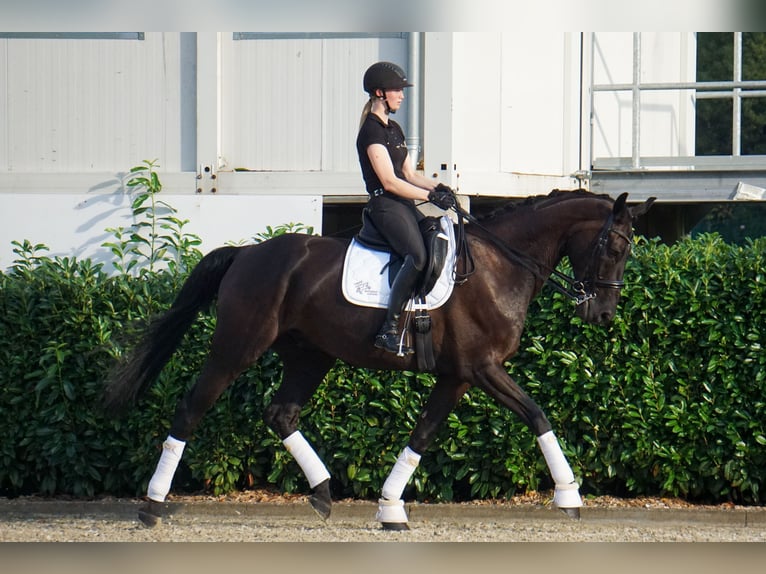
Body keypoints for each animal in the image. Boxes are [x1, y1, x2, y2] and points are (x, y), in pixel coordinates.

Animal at [103, 189, 656, 532]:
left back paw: (324, 492)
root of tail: (247, 252)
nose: (603, 313)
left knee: (280, 413)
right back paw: (152, 505)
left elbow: (423, 434)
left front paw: (390, 508)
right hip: (236, 347)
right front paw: (569, 497)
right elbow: (536, 414)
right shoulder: (480, 369)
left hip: (311, 355)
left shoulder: (457, 376)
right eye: (613, 246)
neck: (502, 263)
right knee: (192, 408)